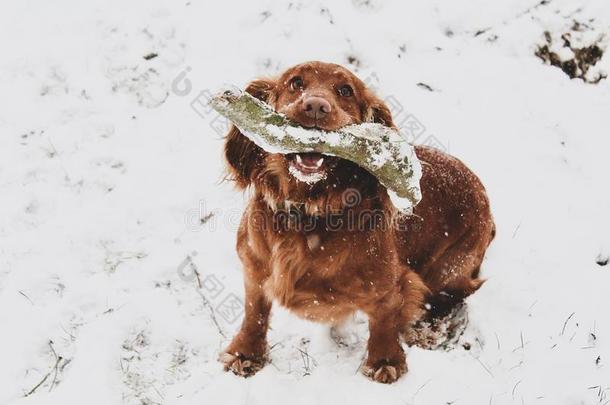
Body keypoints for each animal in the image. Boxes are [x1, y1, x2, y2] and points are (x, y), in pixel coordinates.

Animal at [218, 60, 494, 382]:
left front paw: (384, 362)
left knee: (450, 298)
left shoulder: (394, 283)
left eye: (345, 91)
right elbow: (254, 312)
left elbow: (384, 320)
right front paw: (245, 353)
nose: (316, 106)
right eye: (296, 83)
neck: (311, 212)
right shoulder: (254, 268)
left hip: (448, 269)